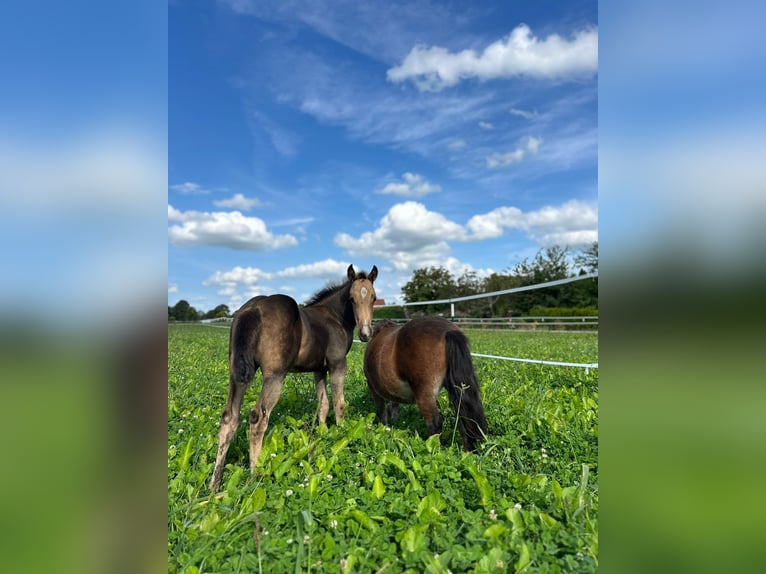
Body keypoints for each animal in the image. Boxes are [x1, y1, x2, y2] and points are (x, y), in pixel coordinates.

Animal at [210, 264, 378, 490]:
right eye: (351, 299)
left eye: (374, 298)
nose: (366, 334)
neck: (334, 317)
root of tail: (253, 308)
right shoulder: (337, 365)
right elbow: (339, 403)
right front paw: (342, 434)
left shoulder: (319, 369)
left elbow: (323, 404)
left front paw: (321, 434)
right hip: (275, 376)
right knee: (258, 418)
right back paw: (255, 476)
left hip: (237, 373)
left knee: (229, 417)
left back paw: (214, 485)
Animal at [364, 318, 488, 452]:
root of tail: (448, 331)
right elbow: (394, 407)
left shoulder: (374, 389)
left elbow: (382, 412)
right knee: (463, 419)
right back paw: (467, 452)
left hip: (424, 393)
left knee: (435, 423)